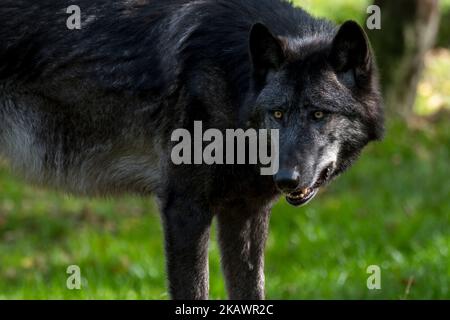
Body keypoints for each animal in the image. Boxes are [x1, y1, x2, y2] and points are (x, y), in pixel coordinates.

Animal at [0, 0, 384, 300]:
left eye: (319, 114)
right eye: (278, 114)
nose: (286, 178)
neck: (233, 82)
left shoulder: (245, 211)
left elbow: (250, 290)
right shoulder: (185, 208)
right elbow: (195, 290)